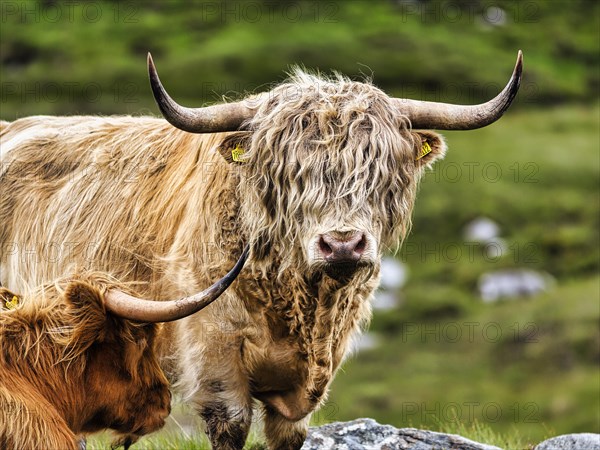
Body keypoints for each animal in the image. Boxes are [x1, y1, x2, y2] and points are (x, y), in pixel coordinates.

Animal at [0, 51, 524, 448]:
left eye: (377, 170)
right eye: (288, 173)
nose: (342, 242)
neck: (296, 309)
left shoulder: (309, 382)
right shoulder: (214, 356)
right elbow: (230, 424)